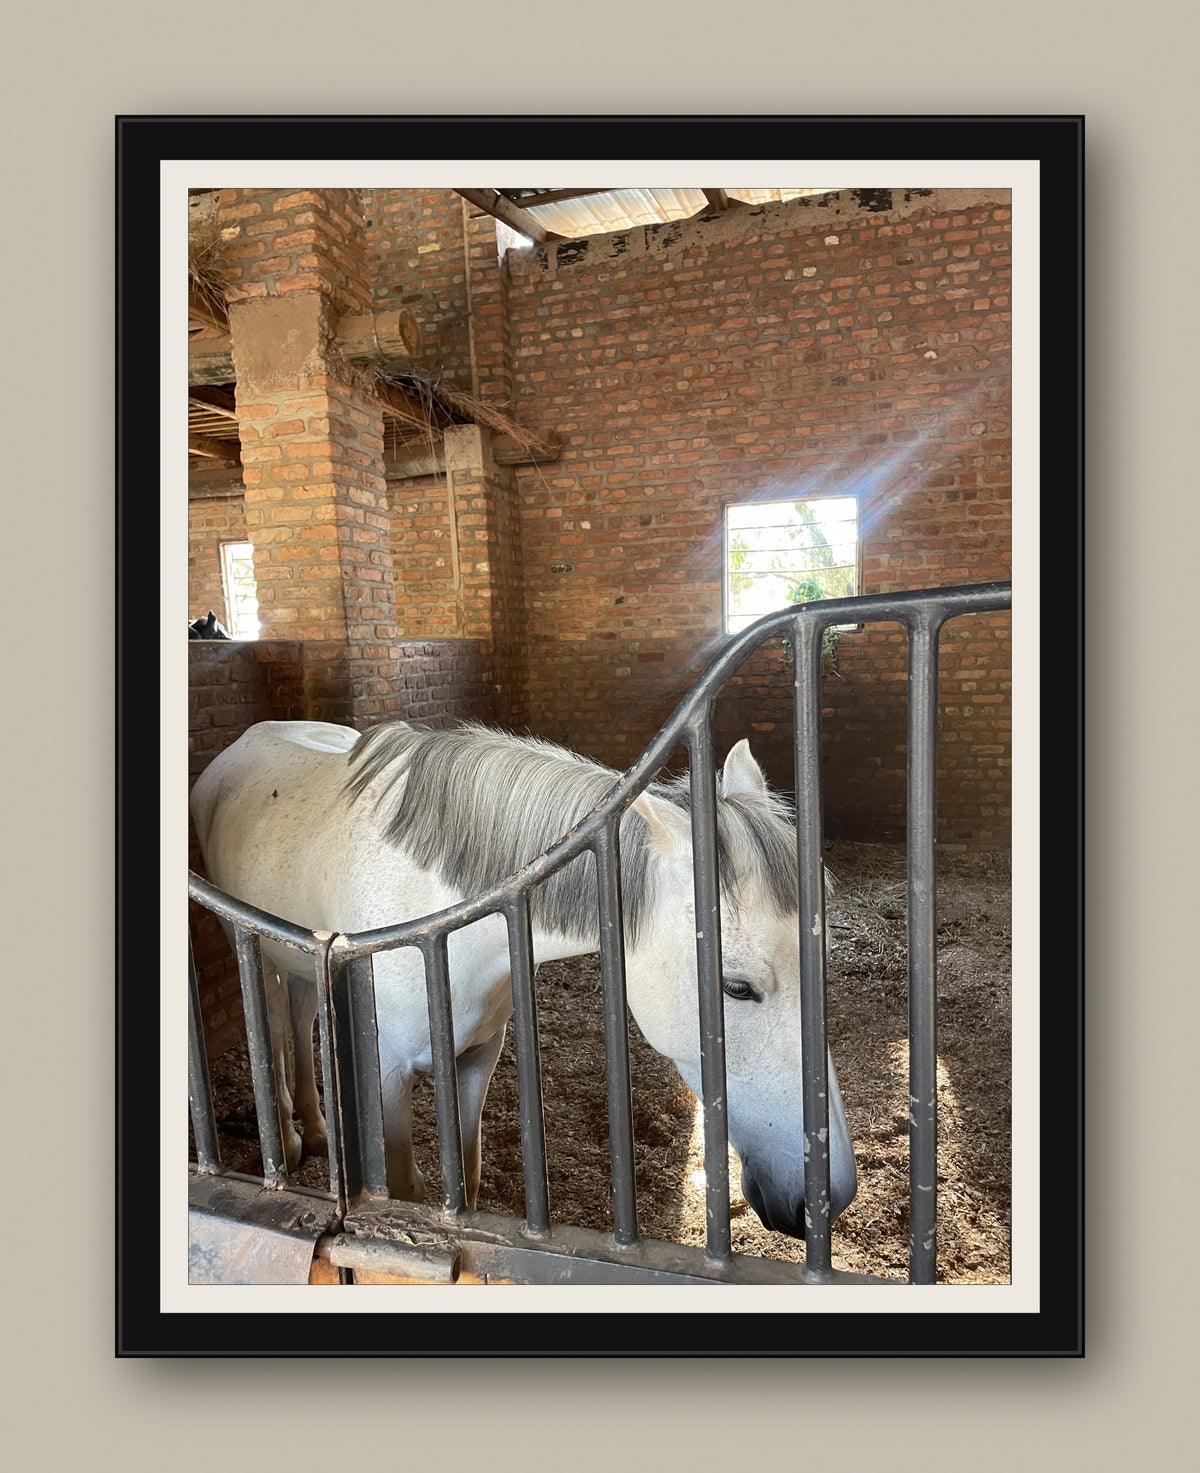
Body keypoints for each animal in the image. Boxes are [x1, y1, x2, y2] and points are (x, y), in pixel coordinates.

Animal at [189, 718, 858, 1238]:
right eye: (737, 987)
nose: (829, 1196)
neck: (439, 920)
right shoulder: (386, 1077)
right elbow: (405, 1189)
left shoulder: (478, 1057)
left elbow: (468, 1176)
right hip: (251, 947)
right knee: (274, 1026)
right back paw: (291, 1137)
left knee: (302, 1014)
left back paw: (318, 1129)